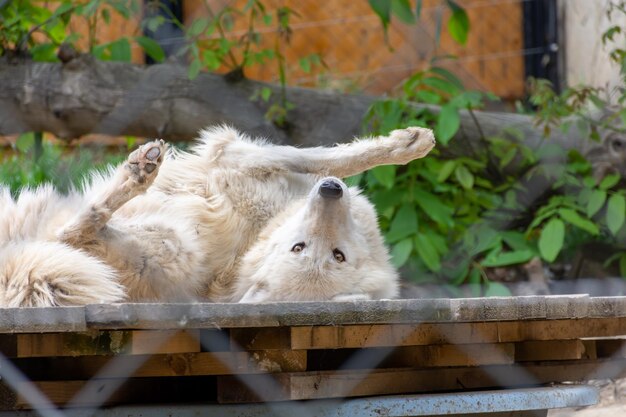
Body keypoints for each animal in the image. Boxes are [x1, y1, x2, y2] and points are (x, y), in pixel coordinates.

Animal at [0, 124, 434, 306]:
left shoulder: (238, 158)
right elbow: (334, 157)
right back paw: (142, 169)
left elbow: (327, 158)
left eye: (336, 255)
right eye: (298, 248)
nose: (330, 192)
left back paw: (138, 174)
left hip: (172, 246)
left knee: (70, 233)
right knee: (70, 230)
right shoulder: (245, 157)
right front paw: (409, 143)